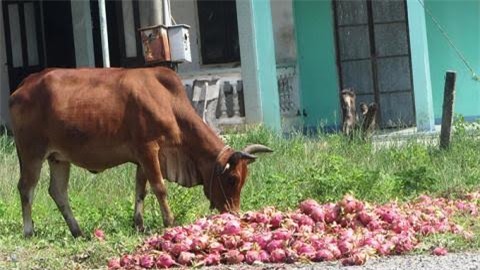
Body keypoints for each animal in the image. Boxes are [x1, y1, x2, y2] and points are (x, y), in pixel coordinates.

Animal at [9, 66, 274, 237]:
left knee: (58, 192)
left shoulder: (144, 158)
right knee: (26, 189)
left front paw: (139, 224)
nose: (234, 214)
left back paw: (78, 231)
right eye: (232, 179)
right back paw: (29, 230)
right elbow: (159, 188)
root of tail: (23, 86)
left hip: (58, 158)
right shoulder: (149, 148)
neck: (168, 102)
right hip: (31, 152)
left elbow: (141, 190)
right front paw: (169, 221)